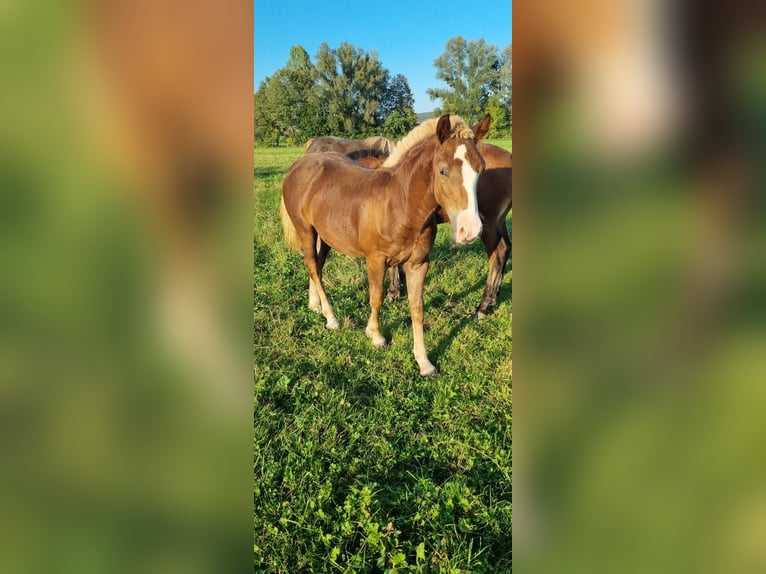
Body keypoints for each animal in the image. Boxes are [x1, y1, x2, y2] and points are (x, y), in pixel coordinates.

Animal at [282, 116, 492, 378]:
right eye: (443, 170)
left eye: (481, 169)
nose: (470, 231)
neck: (401, 204)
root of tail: (298, 165)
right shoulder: (376, 260)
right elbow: (376, 298)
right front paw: (376, 336)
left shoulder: (418, 264)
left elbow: (417, 309)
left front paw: (424, 363)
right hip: (306, 230)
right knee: (312, 265)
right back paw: (330, 318)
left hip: (327, 236)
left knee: (316, 266)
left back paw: (314, 304)